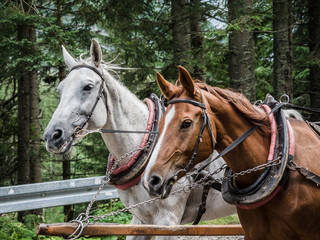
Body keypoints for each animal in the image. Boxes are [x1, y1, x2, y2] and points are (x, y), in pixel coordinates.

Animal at [42, 38, 238, 239]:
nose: (52, 135)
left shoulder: (168, 221)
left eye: (88, 87)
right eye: (60, 90)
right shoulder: (141, 221)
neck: (148, 152)